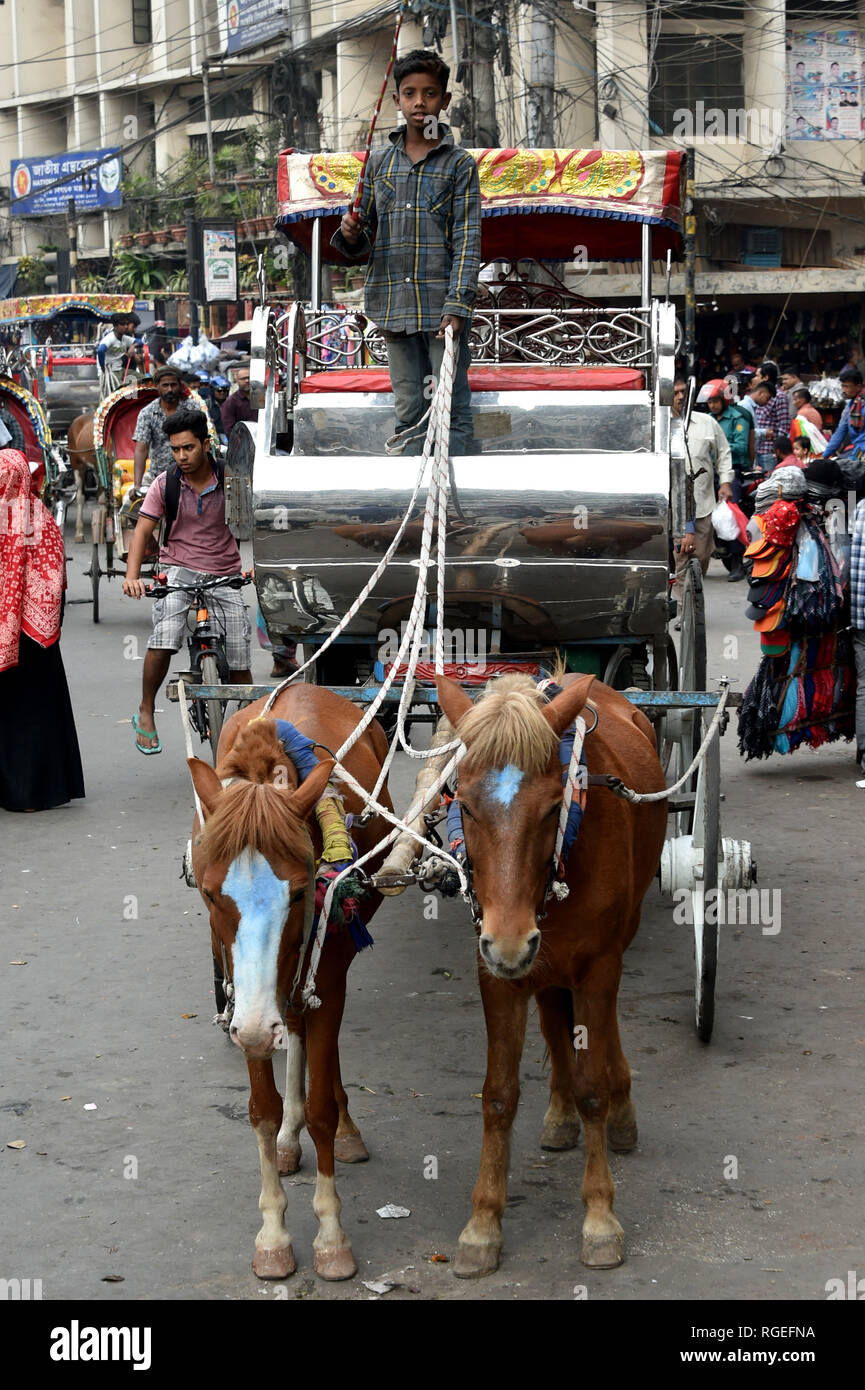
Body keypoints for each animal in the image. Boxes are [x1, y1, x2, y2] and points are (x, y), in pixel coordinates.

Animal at [191, 683, 394, 1278]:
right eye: (210, 893)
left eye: (301, 891)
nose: (260, 1028)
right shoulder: (246, 1002)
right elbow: (261, 1112)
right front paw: (273, 1234)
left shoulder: (324, 979)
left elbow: (322, 1107)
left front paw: (330, 1236)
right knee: (294, 1031)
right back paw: (289, 1135)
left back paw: (344, 1130)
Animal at [433, 667, 670, 1273]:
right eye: (465, 806)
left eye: (549, 807)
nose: (511, 940)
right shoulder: (496, 970)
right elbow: (498, 1094)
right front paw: (483, 1224)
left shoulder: (598, 965)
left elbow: (594, 1086)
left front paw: (600, 1216)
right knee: (552, 1016)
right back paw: (561, 1114)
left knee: (601, 1036)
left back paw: (620, 1108)